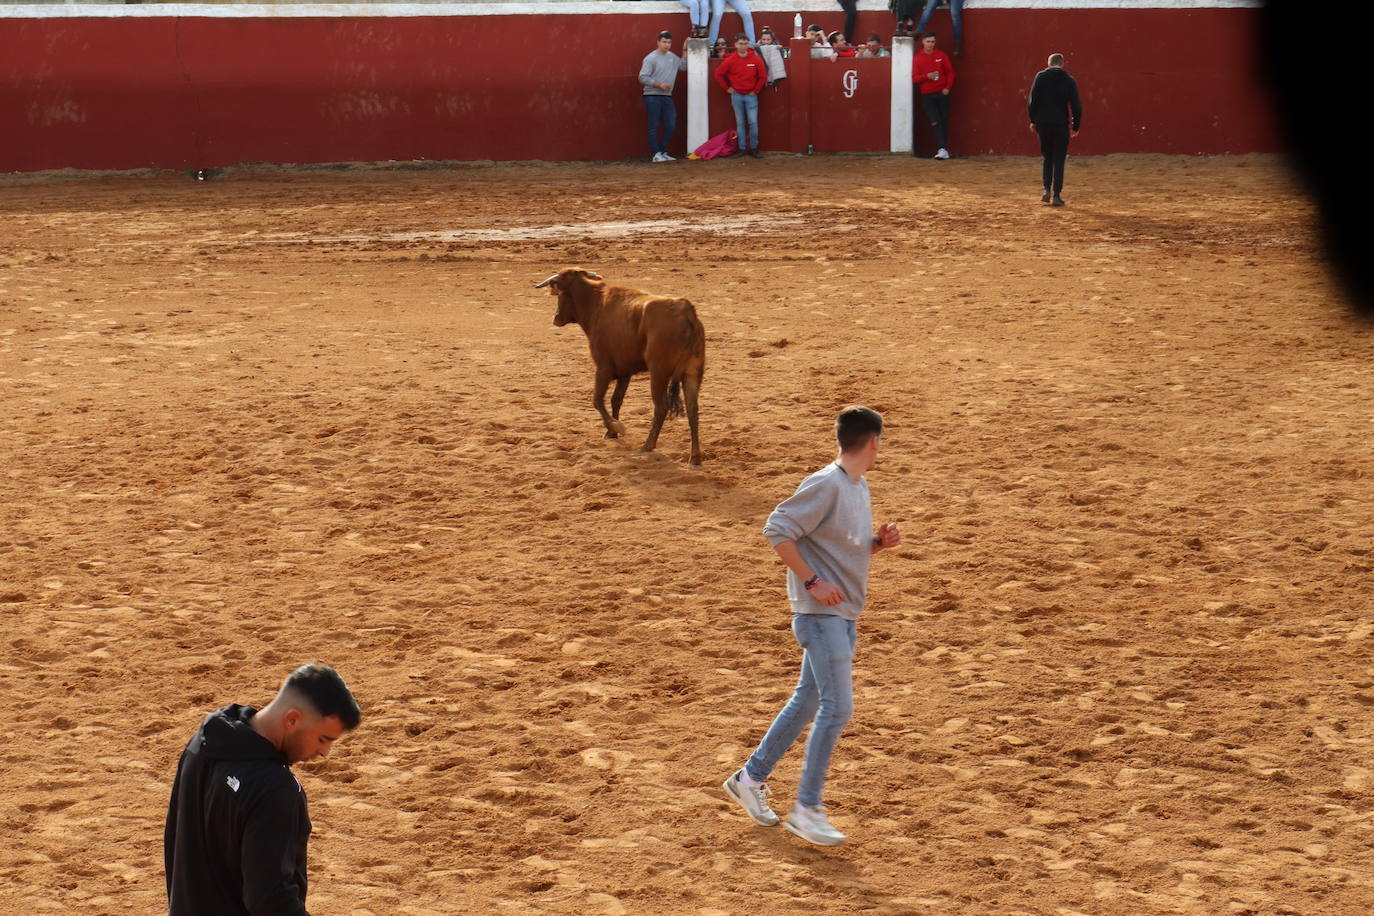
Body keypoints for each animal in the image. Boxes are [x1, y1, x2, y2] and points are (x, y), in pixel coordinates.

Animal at [535, 266, 708, 466]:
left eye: (559, 293)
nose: (555, 318)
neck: (597, 305)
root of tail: (686, 311)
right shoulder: (625, 373)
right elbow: (615, 400)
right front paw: (611, 432)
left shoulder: (603, 368)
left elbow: (597, 400)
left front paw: (616, 427)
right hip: (692, 373)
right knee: (693, 410)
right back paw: (694, 457)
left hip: (659, 374)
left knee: (661, 407)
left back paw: (647, 446)